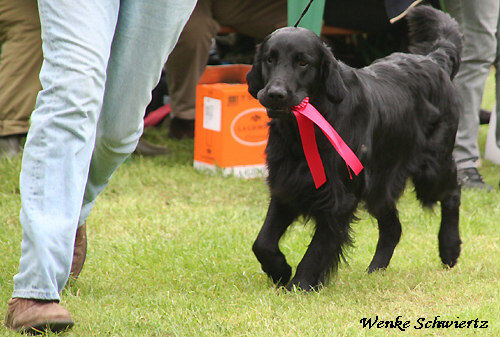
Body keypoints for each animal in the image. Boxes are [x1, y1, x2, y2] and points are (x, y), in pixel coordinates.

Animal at [248, 5, 462, 290]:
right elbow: (262, 243)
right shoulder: (286, 185)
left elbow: (316, 250)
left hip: (431, 170)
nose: (275, 94)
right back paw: (376, 269)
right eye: (269, 59)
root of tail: (434, 60)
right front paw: (280, 270)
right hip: (381, 185)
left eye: (303, 62)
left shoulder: (340, 198)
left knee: (453, 193)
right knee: (393, 228)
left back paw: (450, 248)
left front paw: (300, 285)